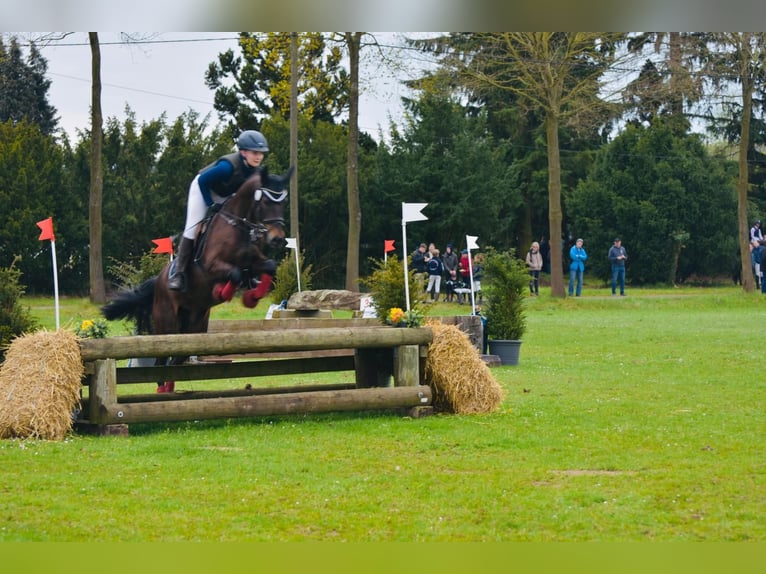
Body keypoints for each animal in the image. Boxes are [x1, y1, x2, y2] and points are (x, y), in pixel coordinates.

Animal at [101, 169, 292, 394]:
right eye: (264, 201)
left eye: (284, 201)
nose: (278, 239)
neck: (239, 226)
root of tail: (158, 282)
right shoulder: (211, 266)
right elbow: (235, 273)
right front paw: (224, 292)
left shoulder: (254, 262)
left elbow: (268, 266)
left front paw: (252, 296)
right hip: (167, 325)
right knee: (161, 362)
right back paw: (162, 390)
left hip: (194, 329)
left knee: (175, 360)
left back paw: (170, 388)